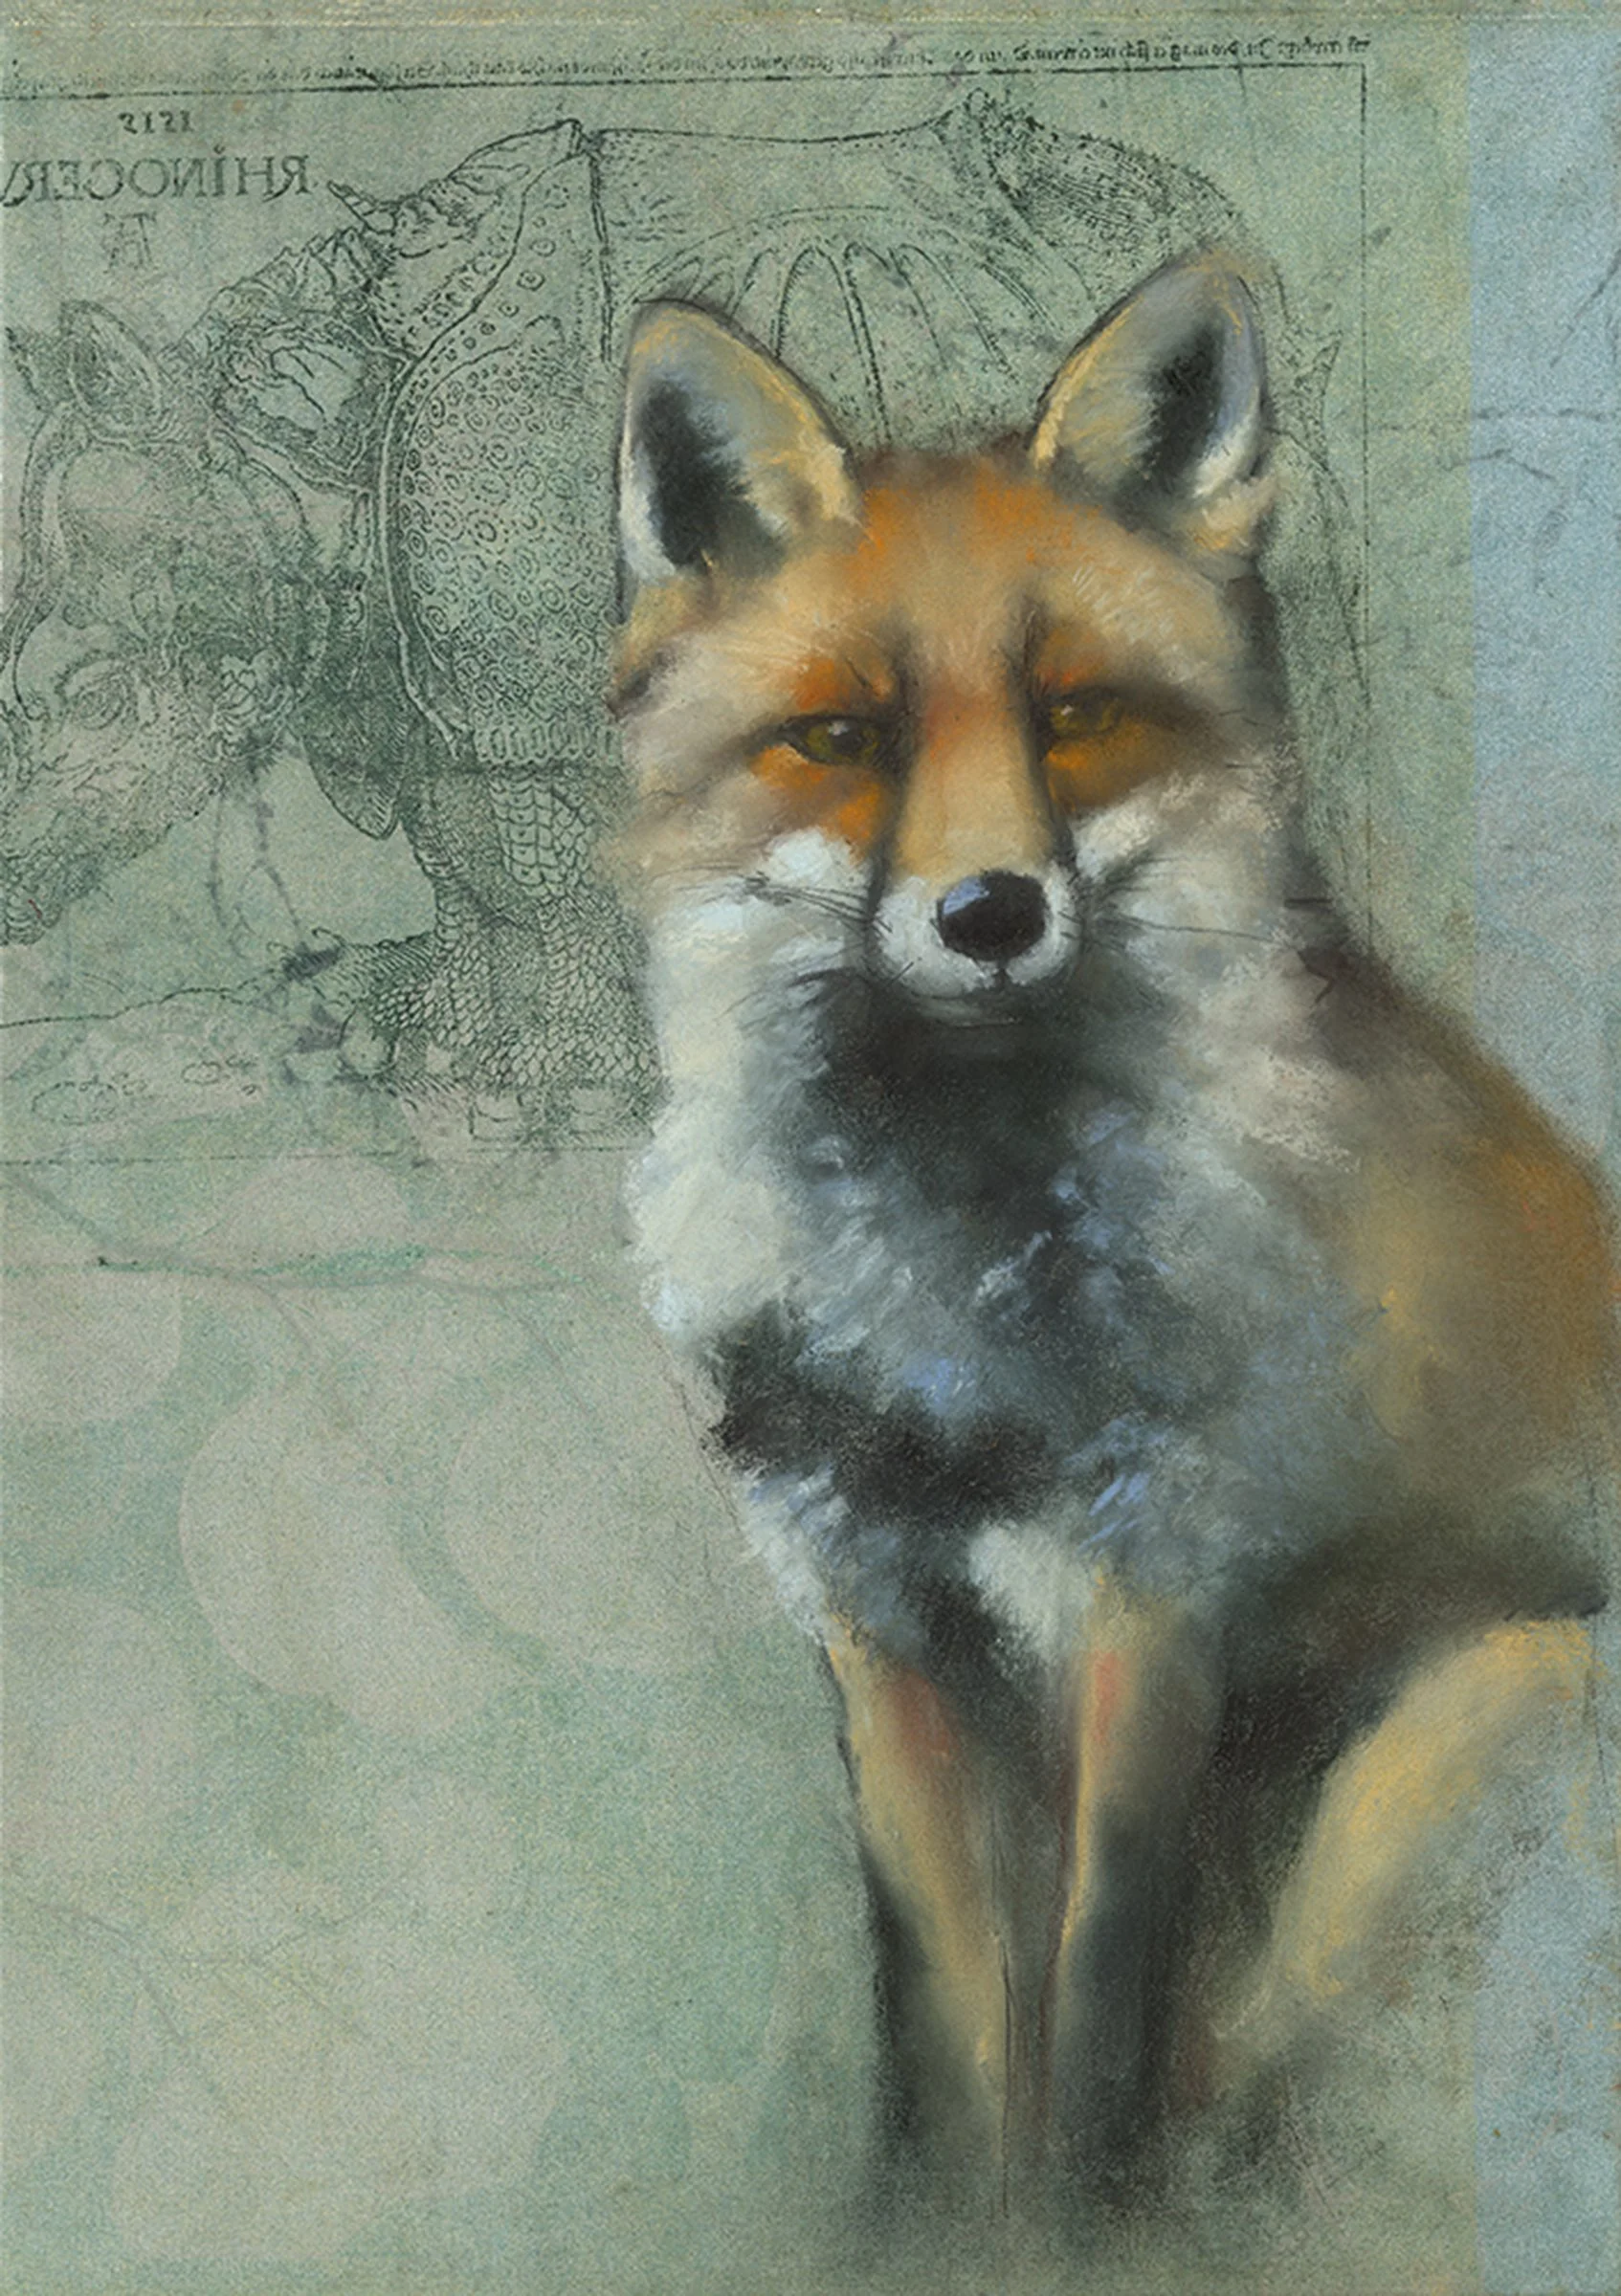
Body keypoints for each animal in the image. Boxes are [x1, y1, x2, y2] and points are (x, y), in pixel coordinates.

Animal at [607, 255, 1617, 2224]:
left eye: (1074, 714)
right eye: (841, 740)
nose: (989, 912)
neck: (942, 1322)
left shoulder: (1144, 1602)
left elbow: (1087, 2027)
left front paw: (1072, 2231)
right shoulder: (874, 1613)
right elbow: (947, 2030)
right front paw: (935, 2235)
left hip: (1476, 1723)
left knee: (1257, 2078)